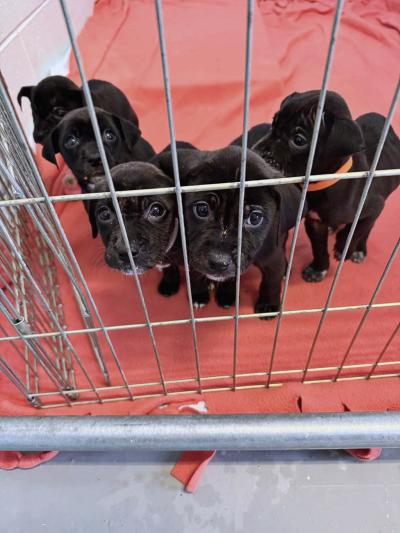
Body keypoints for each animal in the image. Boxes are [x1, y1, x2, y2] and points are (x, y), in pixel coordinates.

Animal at [155, 145, 302, 314]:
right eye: (202, 210)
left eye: (255, 218)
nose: (219, 262)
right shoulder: (192, 252)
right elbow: (195, 274)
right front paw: (199, 294)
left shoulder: (272, 257)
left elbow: (271, 282)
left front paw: (267, 304)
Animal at [253, 91, 400, 282]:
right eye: (273, 123)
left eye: (299, 140)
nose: (256, 153)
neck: (324, 182)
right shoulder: (315, 222)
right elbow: (319, 249)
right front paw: (319, 268)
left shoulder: (374, 206)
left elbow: (357, 230)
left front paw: (344, 247)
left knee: (368, 227)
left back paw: (359, 249)